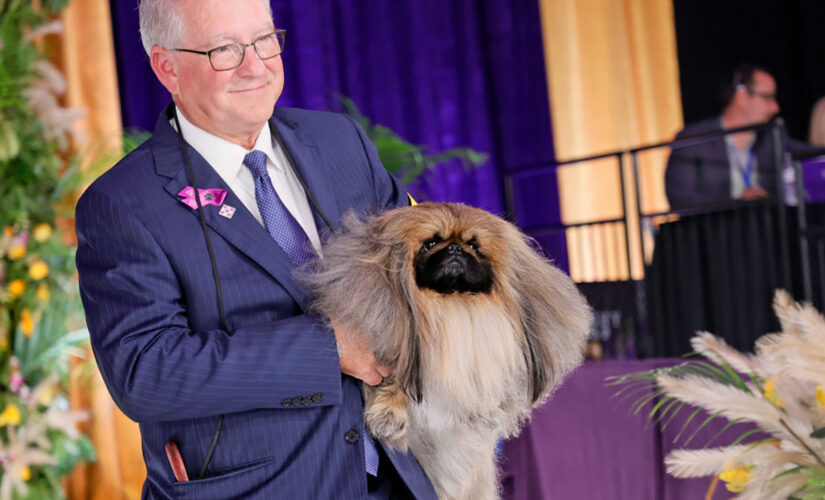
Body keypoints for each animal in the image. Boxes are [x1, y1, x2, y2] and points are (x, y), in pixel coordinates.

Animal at [302, 201, 592, 498]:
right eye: (431, 243)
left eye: (474, 246)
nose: (454, 248)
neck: (452, 303)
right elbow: (391, 374)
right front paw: (389, 413)